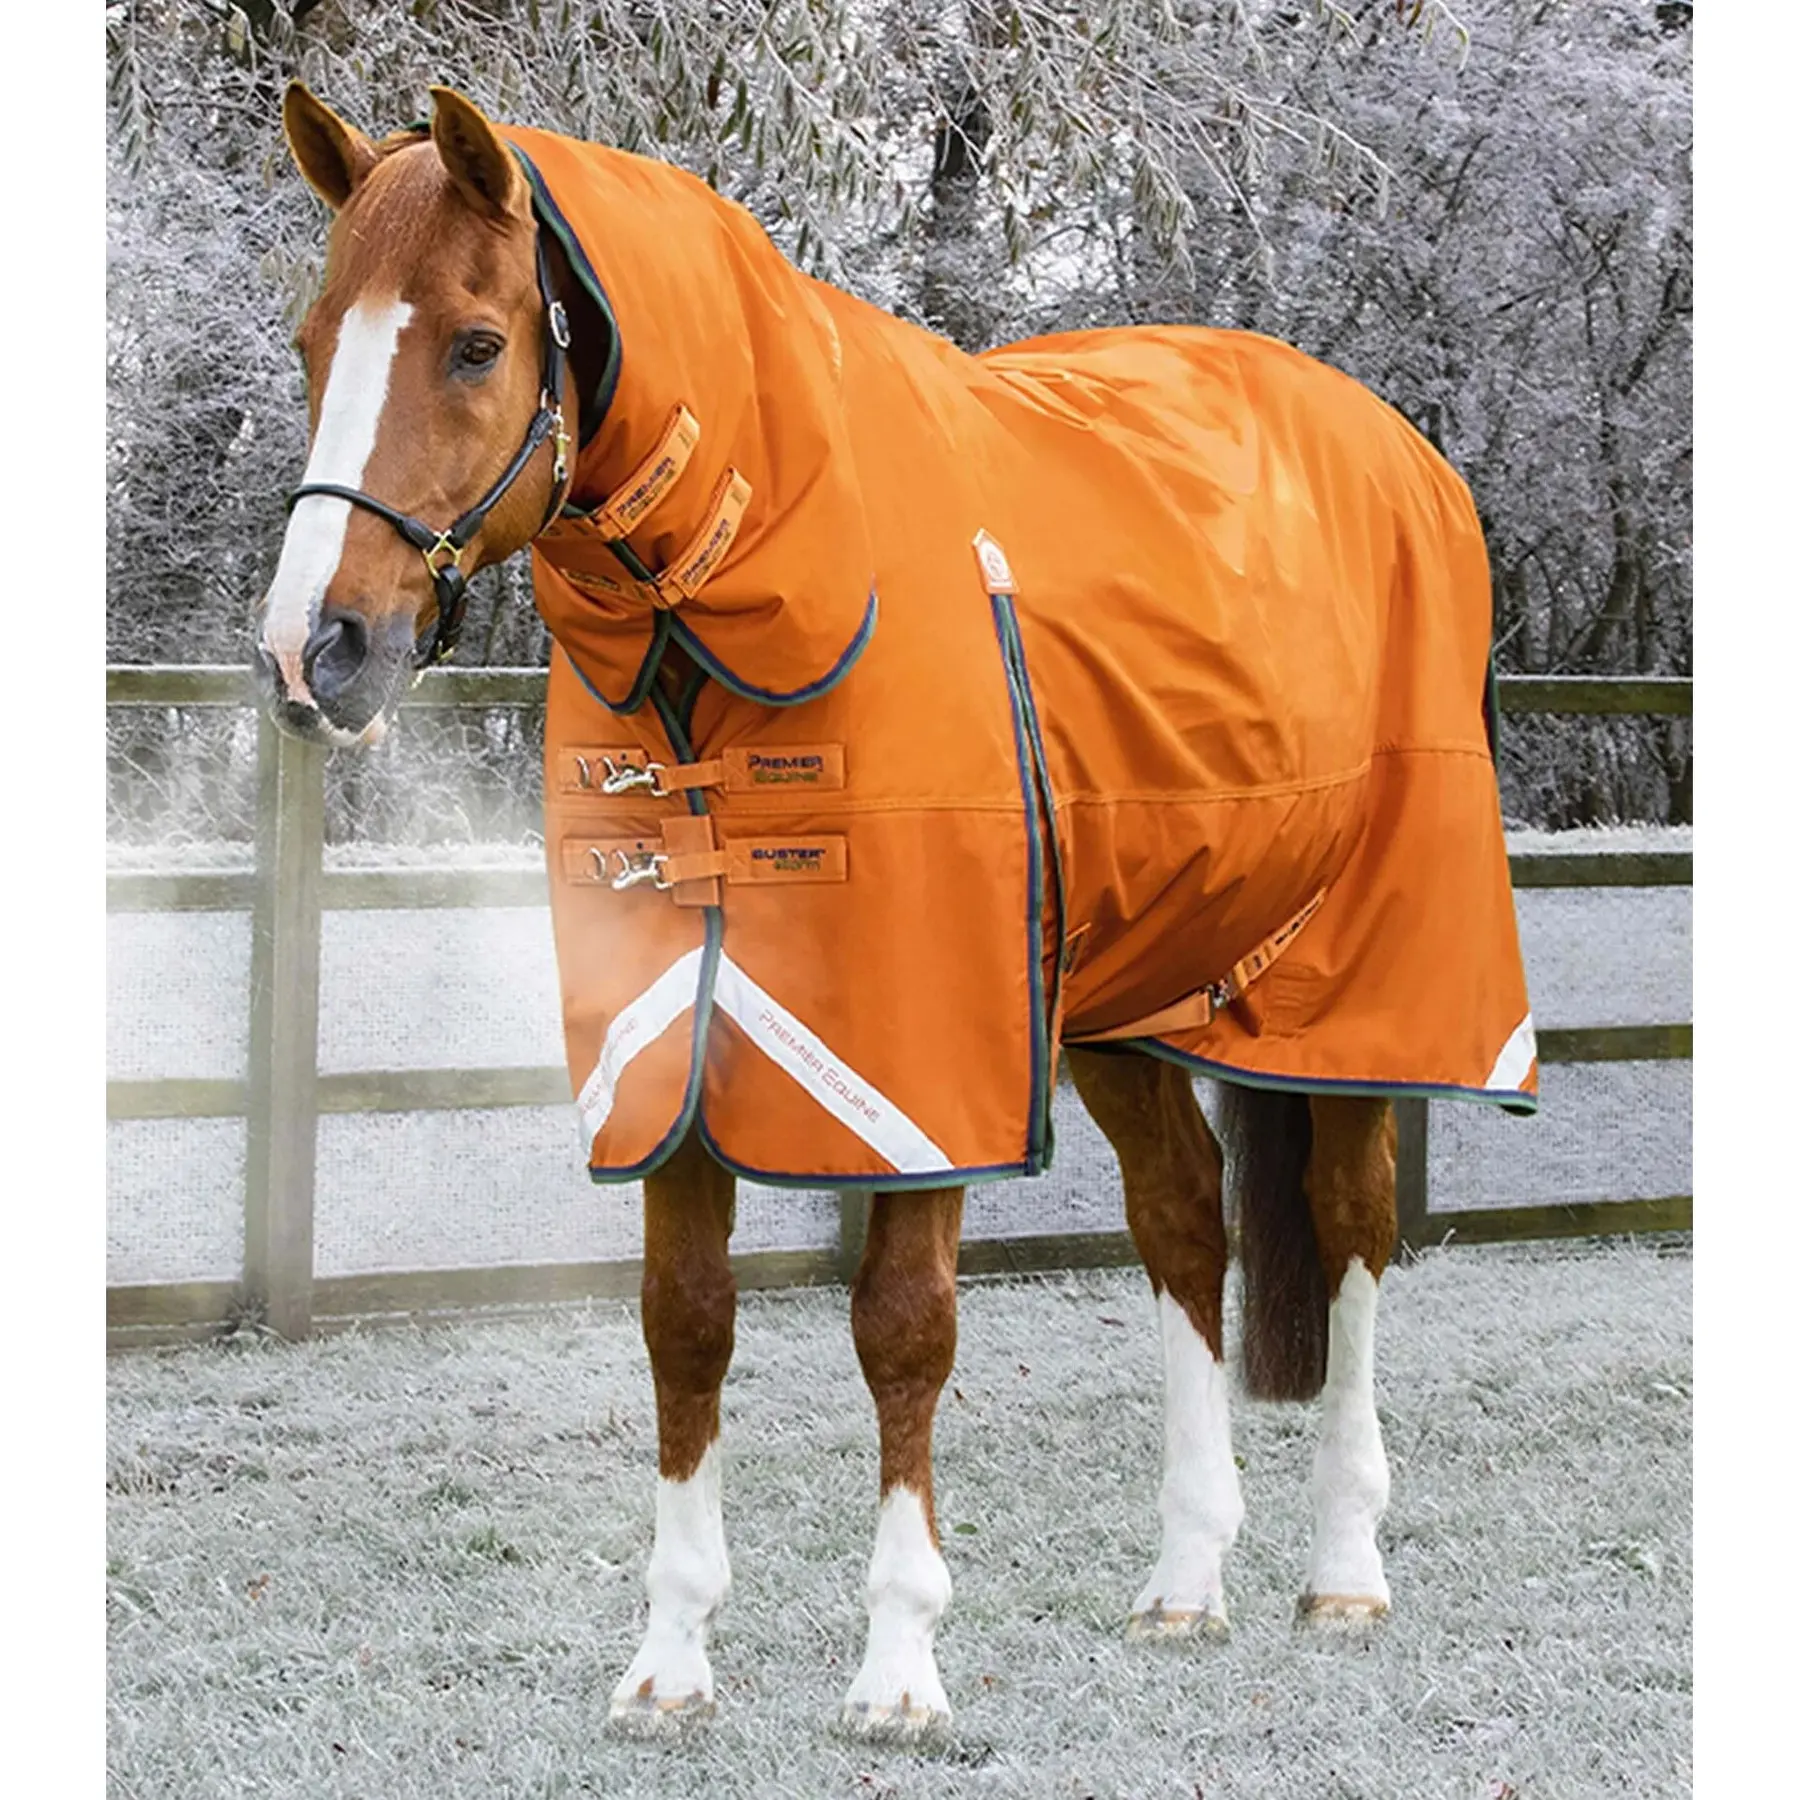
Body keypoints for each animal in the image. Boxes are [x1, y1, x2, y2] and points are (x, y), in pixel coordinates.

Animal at [256, 82, 1536, 1738]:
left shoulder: (927, 1058)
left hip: (1357, 997)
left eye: (477, 344)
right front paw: (671, 1662)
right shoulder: (683, 1046)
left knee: (1352, 1226)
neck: (771, 588)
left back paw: (1344, 1572)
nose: (315, 650)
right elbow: (686, 1320)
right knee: (1188, 1225)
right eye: (312, 339)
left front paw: (900, 1667)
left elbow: (903, 1328)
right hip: (1127, 999)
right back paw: (1189, 1582)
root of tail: (1406, 459)